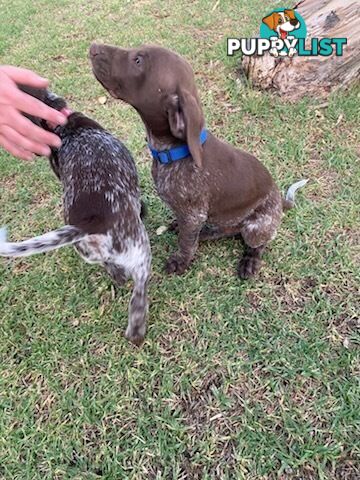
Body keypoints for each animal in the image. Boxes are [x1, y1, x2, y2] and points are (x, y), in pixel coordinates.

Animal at [0, 84, 150, 344]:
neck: (66, 127)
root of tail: (90, 223)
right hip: (140, 254)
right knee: (135, 292)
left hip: (100, 253)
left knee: (118, 275)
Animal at [90, 45, 306, 280]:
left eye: (138, 60)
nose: (93, 48)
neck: (175, 152)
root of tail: (279, 200)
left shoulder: (194, 215)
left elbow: (186, 242)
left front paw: (181, 261)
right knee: (227, 230)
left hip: (256, 228)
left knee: (256, 243)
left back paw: (249, 260)